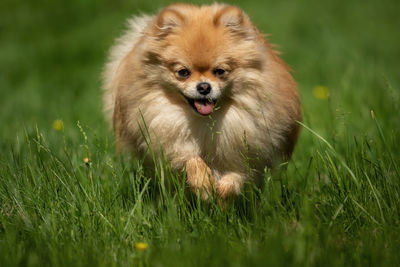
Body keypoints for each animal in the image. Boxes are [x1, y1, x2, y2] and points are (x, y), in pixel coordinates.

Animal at [101, 3, 302, 201]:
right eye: (183, 72)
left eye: (220, 71)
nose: (204, 87)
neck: (204, 121)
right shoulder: (171, 140)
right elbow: (191, 160)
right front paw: (203, 184)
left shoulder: (248, 149)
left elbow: (239, 174)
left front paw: (224, 189)